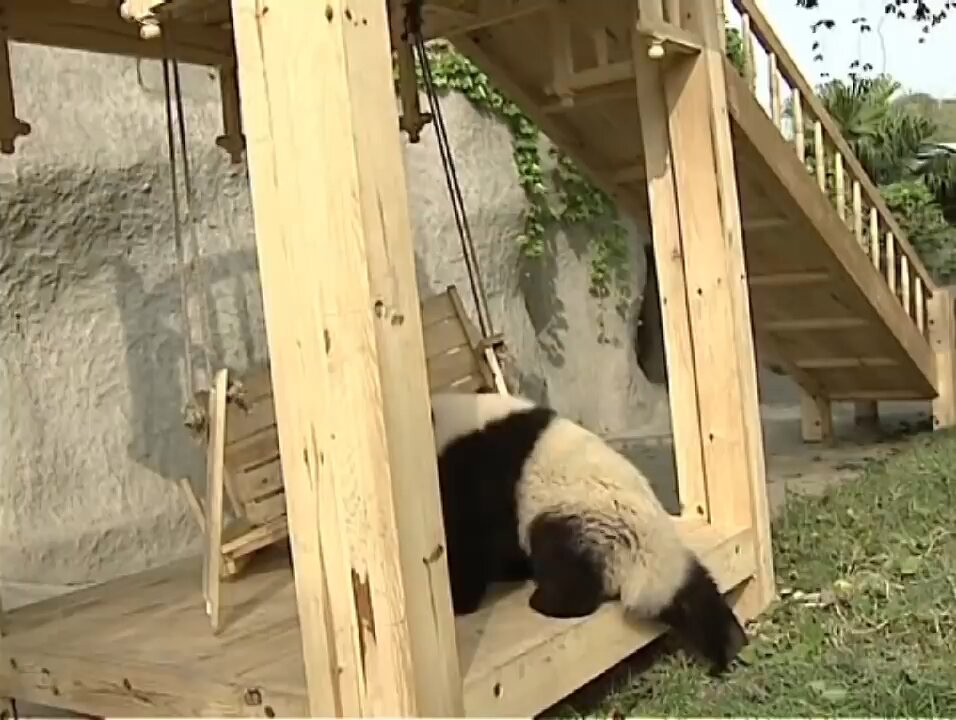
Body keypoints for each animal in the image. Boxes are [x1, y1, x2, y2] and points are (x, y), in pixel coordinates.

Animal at [430, 388, 752, 676]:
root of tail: (649, 563)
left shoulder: (479, 470)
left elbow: (470, 540)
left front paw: (460, 601)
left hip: (586, 519)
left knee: (564, 563)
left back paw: (547, 601)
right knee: (696, 592)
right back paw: (731, 642)